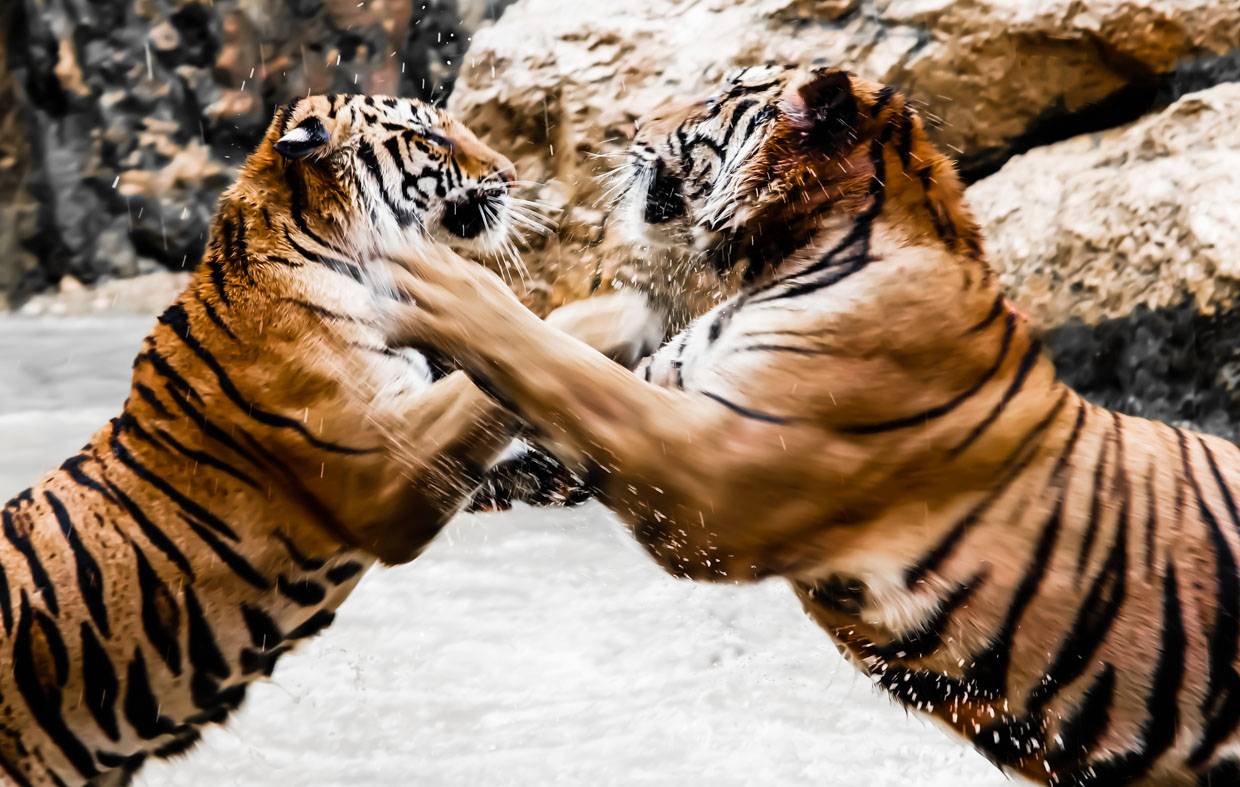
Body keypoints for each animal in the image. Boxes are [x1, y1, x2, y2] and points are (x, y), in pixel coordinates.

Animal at [377, 65, 1240, 785]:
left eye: (716, 98)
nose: (629, 125)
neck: (796, 248)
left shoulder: (710, 477)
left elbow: (549, 361)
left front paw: (438, 281)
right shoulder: (665, 402)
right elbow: (529, 423)